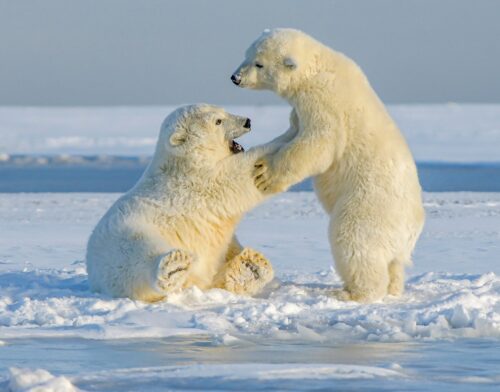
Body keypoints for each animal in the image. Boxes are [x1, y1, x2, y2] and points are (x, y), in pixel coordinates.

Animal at [86, 103, 278, 300]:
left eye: (224, 111)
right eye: (218, 121)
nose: (247, 121)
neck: (184, 161)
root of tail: (93, 274)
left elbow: (226, 245)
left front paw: (250, 265)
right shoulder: (198, 182)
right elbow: (235, 177)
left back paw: (251, 265)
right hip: (125, 237)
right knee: (138, 254)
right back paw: (173, 267)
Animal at [232, 28, 424, 304]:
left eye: (259, 63)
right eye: (246, 55)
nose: (235, 78)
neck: (318, 66)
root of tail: (411, 230)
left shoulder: (324, 102)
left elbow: (318, 143)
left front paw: (265, 174)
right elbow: (294, 130)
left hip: (368, 206)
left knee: (353, 241)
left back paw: (351, 292)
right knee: (394, 264)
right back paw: (393, 288)